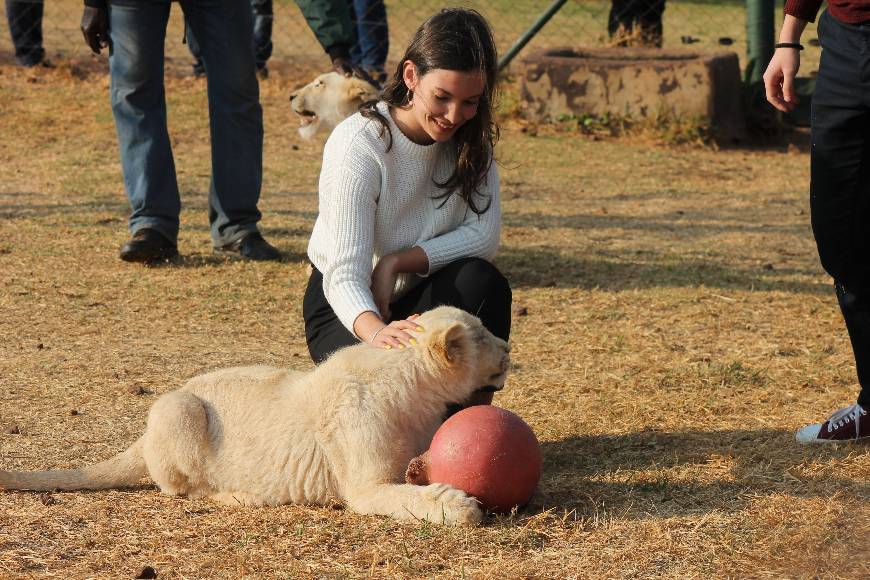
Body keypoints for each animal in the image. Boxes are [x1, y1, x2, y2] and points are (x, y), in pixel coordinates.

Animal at [1, 308, 510, 524]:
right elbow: (400, 497)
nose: (508, 347)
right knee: (180, 487)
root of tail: (141, 441)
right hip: (177, 408)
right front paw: (459, 507)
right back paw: (242, 496)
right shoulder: (362, 485)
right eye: (484, 336)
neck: (417, 389)